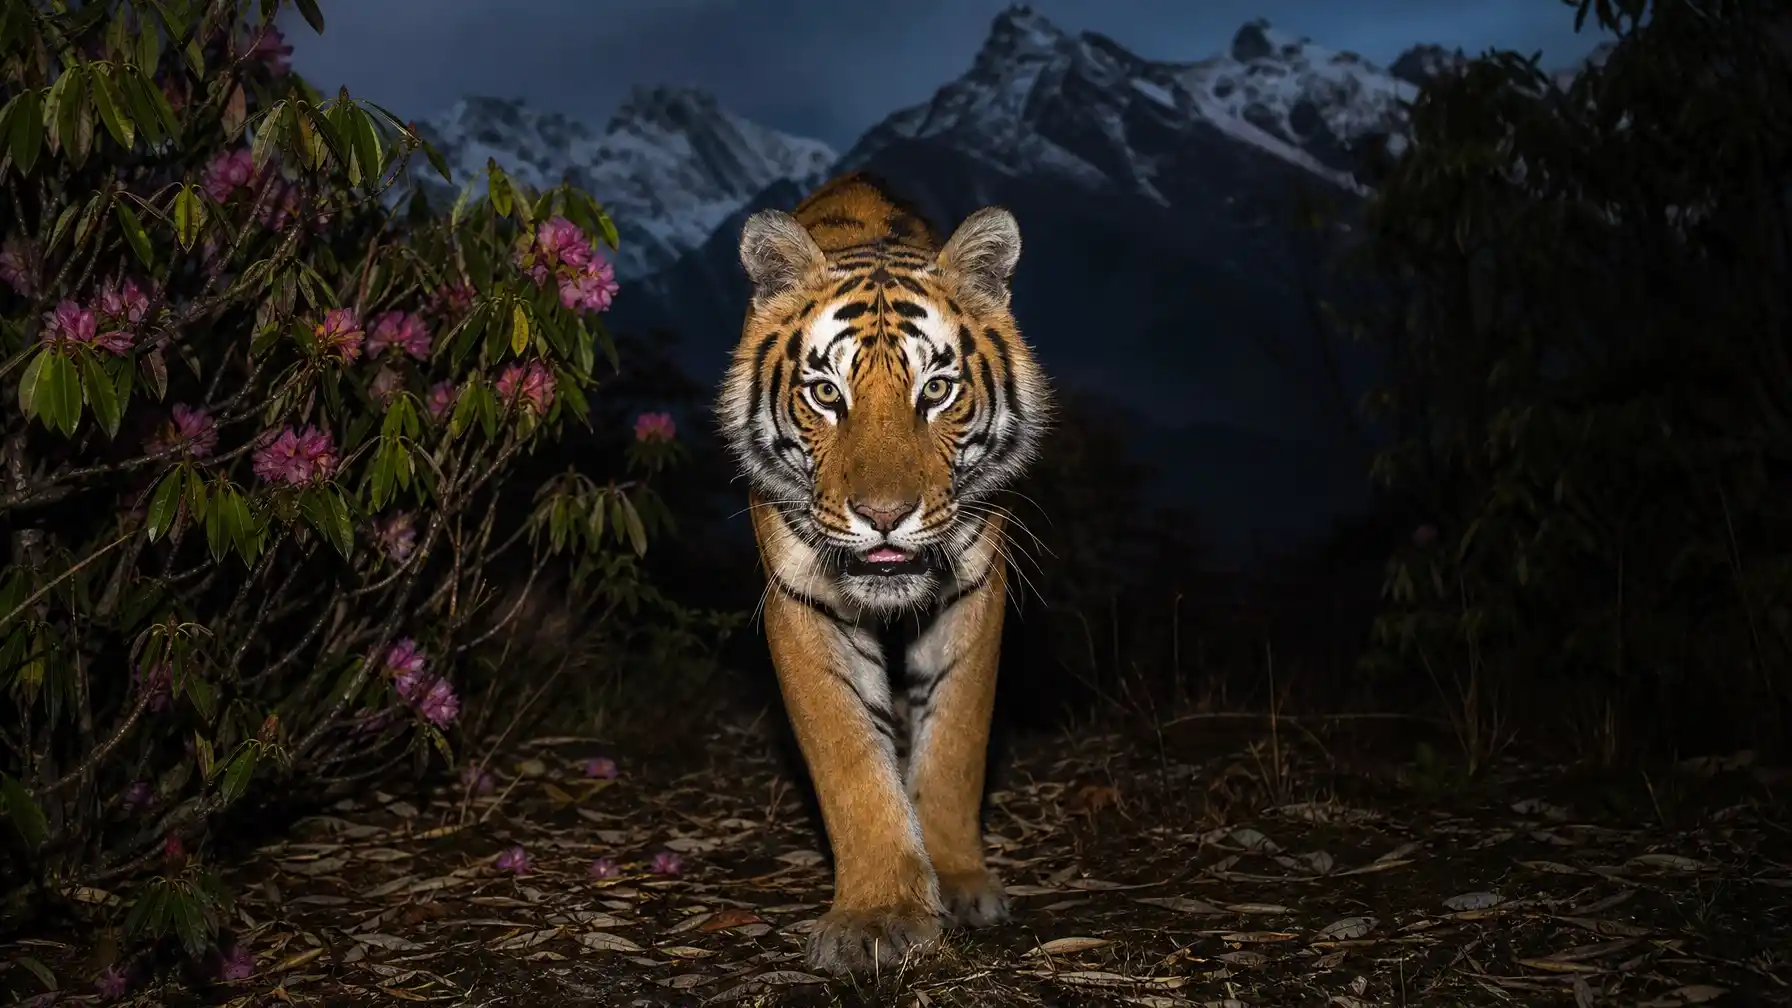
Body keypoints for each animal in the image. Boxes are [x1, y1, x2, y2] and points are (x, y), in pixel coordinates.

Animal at [717, 172, 1051, 974]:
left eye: (935, 390)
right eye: (826, 394)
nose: (884, 515)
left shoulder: (974, 589)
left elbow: (955, 743)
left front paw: (959, 884)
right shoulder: (803, 601)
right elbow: (849, 755)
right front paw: (878, 916)